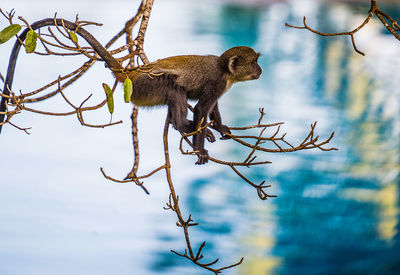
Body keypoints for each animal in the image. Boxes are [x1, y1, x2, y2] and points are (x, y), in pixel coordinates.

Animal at [0, 20, 262, 166]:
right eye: (254, 62)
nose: (260, 69)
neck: (222, 68)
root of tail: (131, 76)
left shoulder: (222, 85)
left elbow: (212, 106)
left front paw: (220, 126)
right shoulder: (217, 82)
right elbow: (200, 108)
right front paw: (199, 148)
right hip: (145, 88)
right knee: (173, 87)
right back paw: (181, 124)